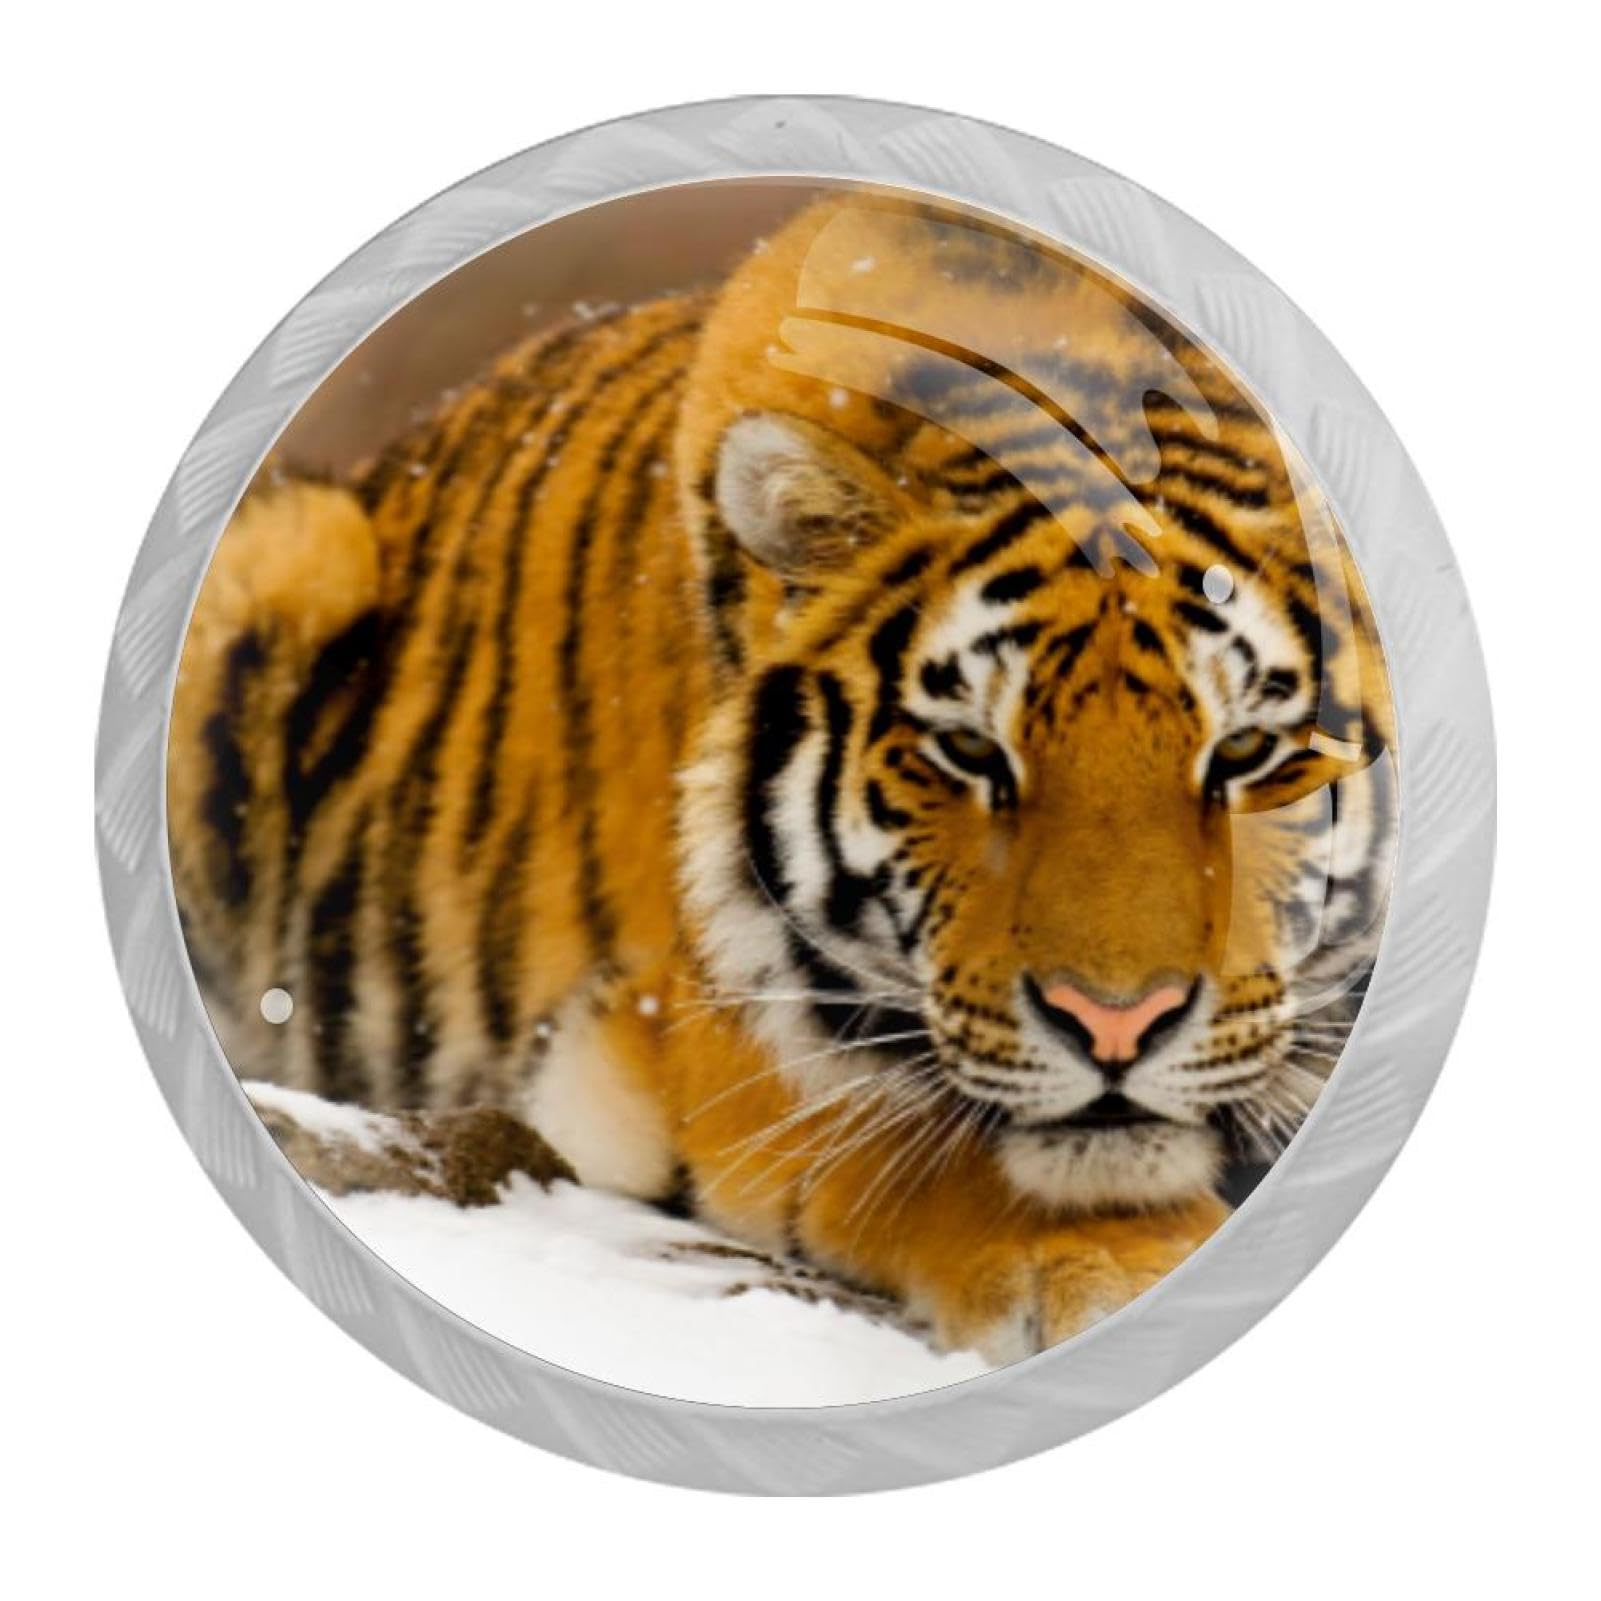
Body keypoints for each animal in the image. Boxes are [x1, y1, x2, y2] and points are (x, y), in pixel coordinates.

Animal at [169, 192, 1396, 1363]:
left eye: (1241, 752)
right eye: (969, 751)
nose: (1115, 1023)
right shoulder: (729, 1047)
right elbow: (954, 1152)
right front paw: (1121, 1263)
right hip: (279, 555)